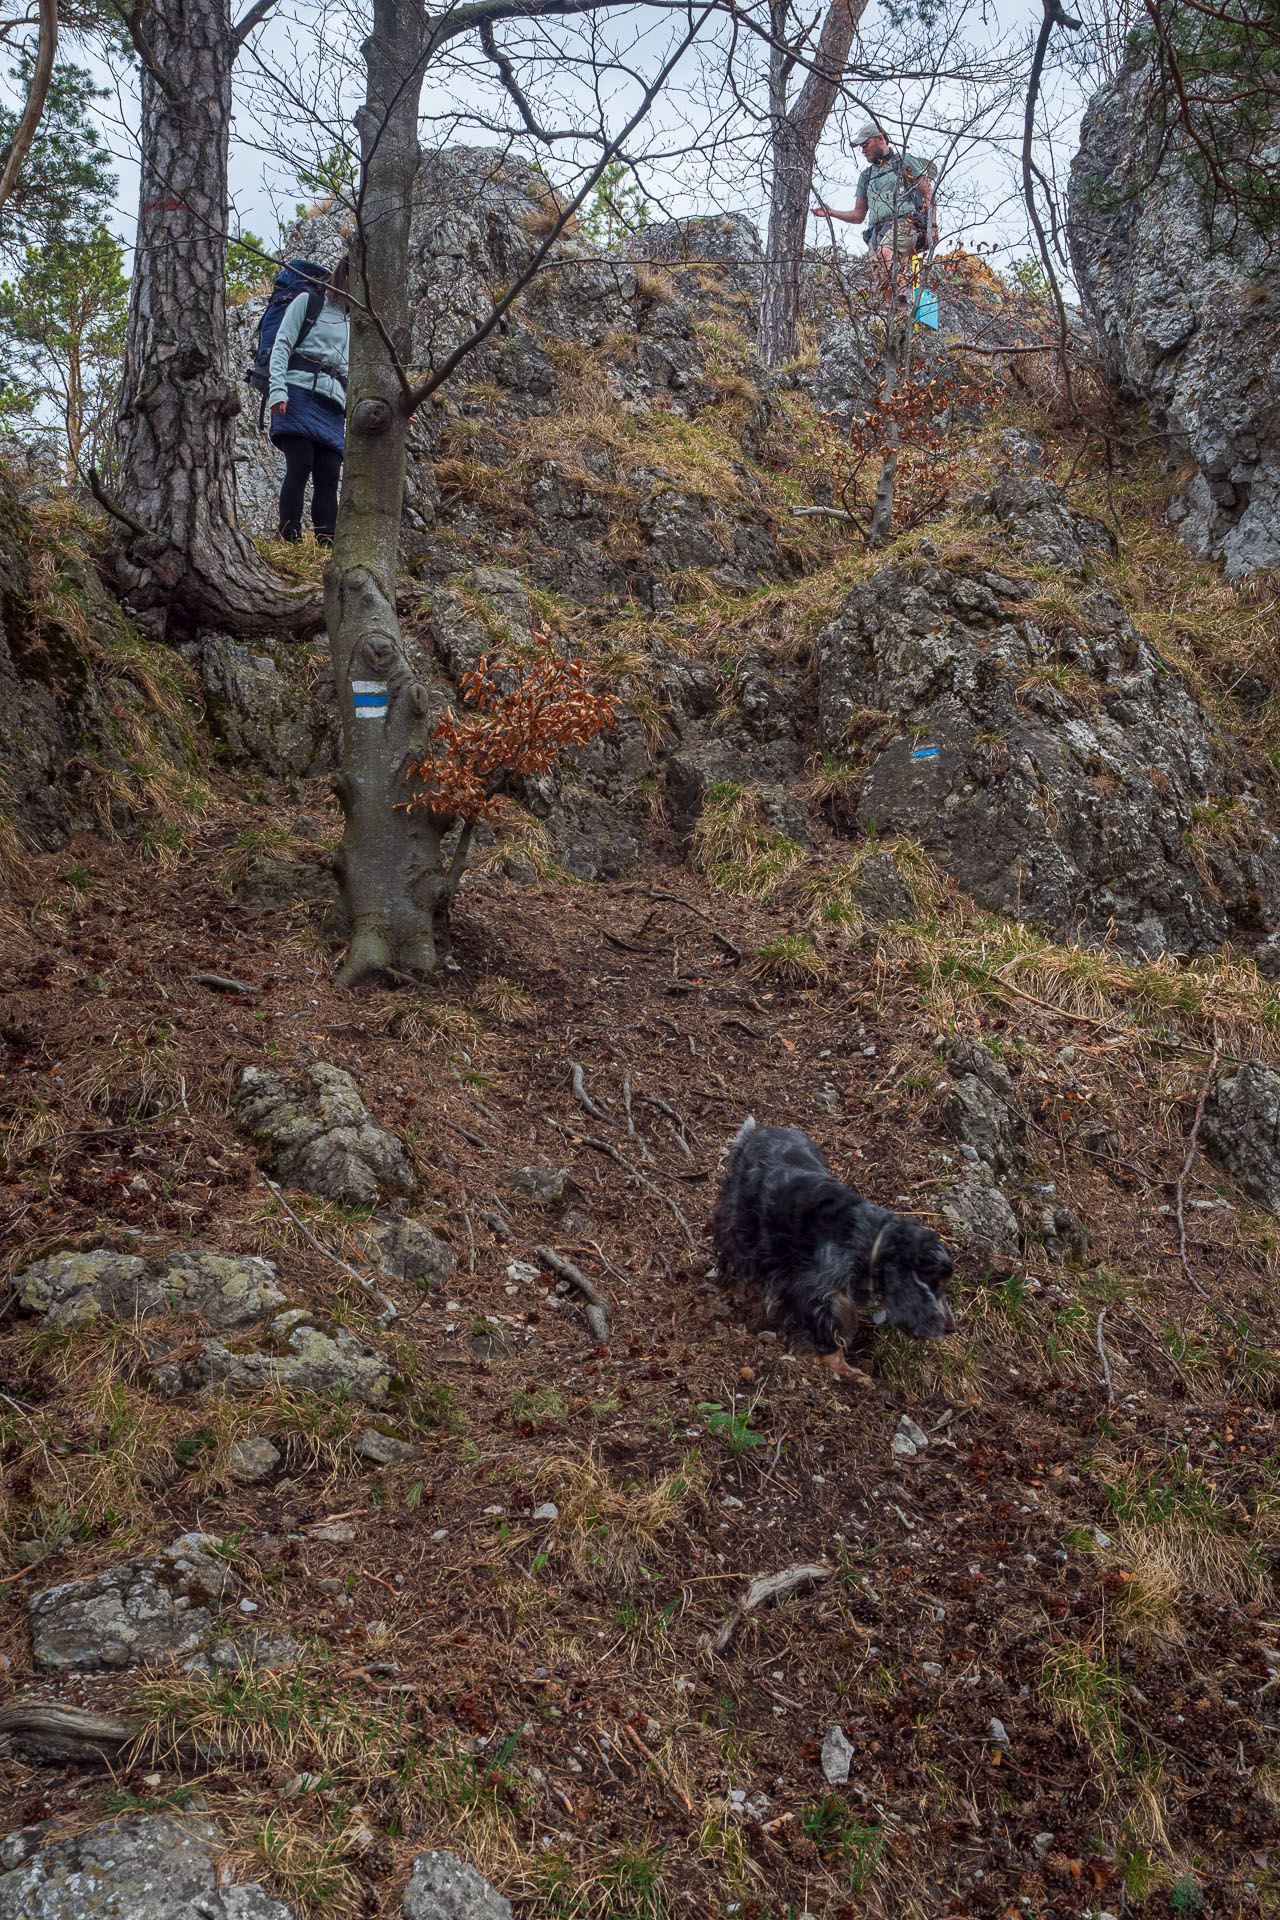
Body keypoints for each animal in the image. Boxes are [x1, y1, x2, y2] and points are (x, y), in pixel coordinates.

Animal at [717, 1121, 955, 1374]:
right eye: (932, 1286)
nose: (950, 1328)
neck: (870, 1241)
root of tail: (756, 1132)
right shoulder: (817, 1291)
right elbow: (829, 1330)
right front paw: (843, 1369)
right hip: (739, 1222)